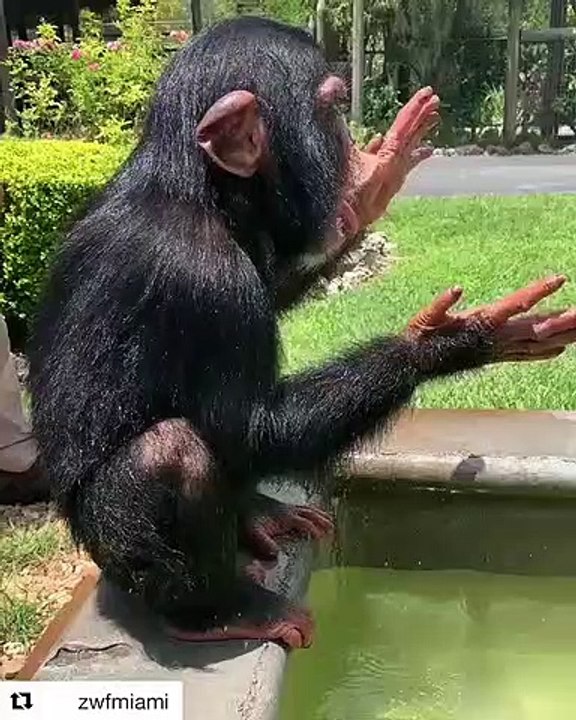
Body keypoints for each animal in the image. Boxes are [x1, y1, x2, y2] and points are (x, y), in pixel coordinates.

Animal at [27, 17, 576, 649]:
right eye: (332, 108)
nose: (348, 146)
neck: (201, 191)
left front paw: (368, 191)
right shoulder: (204, 275)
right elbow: (252, 422)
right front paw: (451, 339)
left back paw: (258, 514)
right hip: (112, 547)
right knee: (172, 452)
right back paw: (219, 611)